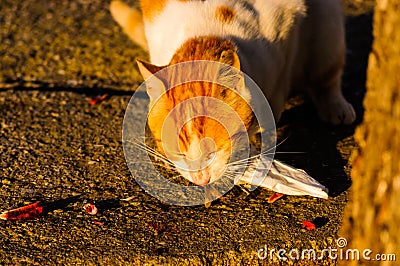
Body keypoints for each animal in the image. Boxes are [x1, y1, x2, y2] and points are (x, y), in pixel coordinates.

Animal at [110, 0, 356, 186]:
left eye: (213, 151)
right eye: (180, 153)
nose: (201, 179)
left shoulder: (288, 24)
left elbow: (280, 83)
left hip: (328, 26)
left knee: (326, 73)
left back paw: (335, 105)